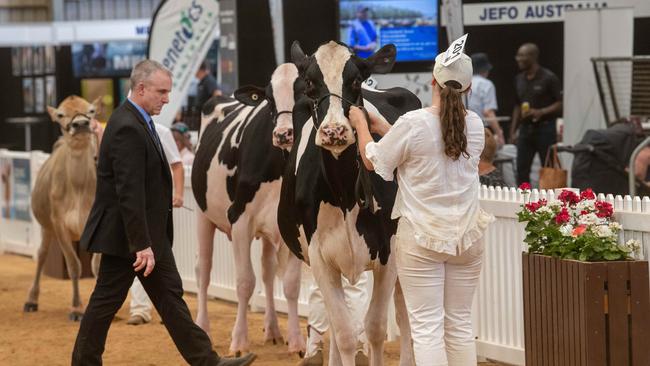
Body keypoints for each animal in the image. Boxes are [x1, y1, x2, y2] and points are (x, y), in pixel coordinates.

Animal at [24, 95, 100, 320]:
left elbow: (96, 266)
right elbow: (74, 265)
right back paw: (31, 300)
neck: (78, 187)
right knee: (41, 255)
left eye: (91, 110)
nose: (81, 124)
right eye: (60, 114)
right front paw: (76, 308)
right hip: (46, 227)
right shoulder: (59, 224)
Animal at [190, 63, 306, 358]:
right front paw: (239, 342)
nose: (283, 134)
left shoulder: (292, 226)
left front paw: (297, 342)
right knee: (203, 270)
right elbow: (244, 283)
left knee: (267, 271)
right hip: (202, 214)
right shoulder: (240, 220)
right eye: (269, 99)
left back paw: (273, 330)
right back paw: (203, 326)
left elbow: (290, 285)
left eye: (305, 92)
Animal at [278, 41, 420, 364]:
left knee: (405, 313)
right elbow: (343, 331)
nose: (334, 131)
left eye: (355, 80)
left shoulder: (389, 252)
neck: (344, 194)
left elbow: (376, 328)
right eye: (309, 82)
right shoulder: (319, 256)